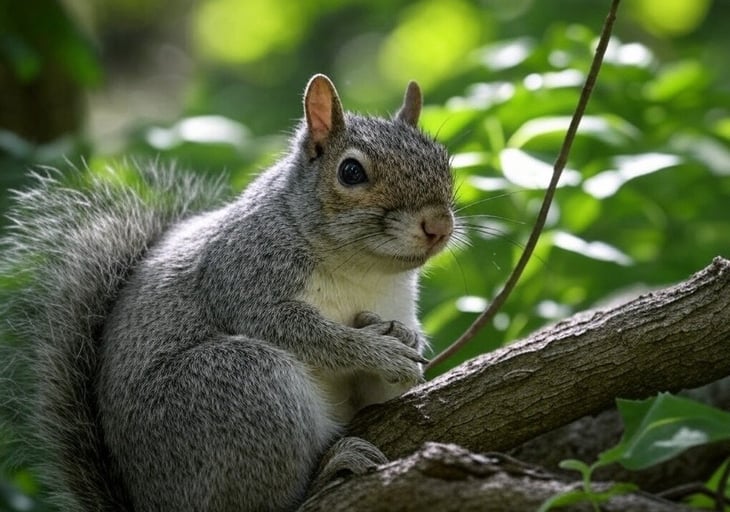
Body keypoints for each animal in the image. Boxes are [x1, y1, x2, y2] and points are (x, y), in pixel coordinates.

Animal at [0, 75, 452, 512]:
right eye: (351, 172)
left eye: (445, 161)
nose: (439, 225)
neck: (363, 272)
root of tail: (148, 502)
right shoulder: (241, 277)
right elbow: (300, 332)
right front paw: (378, 349)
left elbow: (382, 390)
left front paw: (404, 339)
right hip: (240, 384)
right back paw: (328, 472)